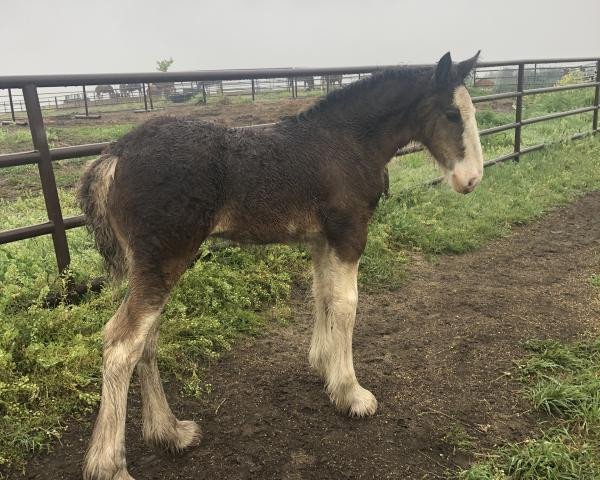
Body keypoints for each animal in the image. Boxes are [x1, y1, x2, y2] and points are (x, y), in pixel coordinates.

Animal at [78, 52, 482, 480]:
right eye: (451, 113)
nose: (471, 179)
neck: (347, 142)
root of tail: (116, 154)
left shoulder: (321, 239)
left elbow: (323, 296)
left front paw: (323, 366)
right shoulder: (349, 233)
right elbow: (347, 304)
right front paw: (351, 394)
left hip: (151, 267)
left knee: (147, 340)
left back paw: (169, 432)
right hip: (165, 259)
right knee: (123, 343)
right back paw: (110, 465)